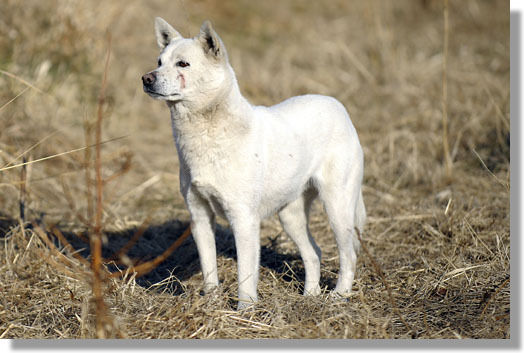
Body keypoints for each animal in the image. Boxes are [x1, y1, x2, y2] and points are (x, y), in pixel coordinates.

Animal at [141, 17, 366, 308]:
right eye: (159, 62)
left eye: (183, 64)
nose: (146, 78)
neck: (207, 134)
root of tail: (338, 106)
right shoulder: (199, 217)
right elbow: (209, 270)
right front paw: (212, 306)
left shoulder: (244, 220)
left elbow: (245, 275)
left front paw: (244, 310)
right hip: (290, 216)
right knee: (314, 252)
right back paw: (310, 296)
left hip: (338, 207)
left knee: (349, 255)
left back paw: (339, 296)